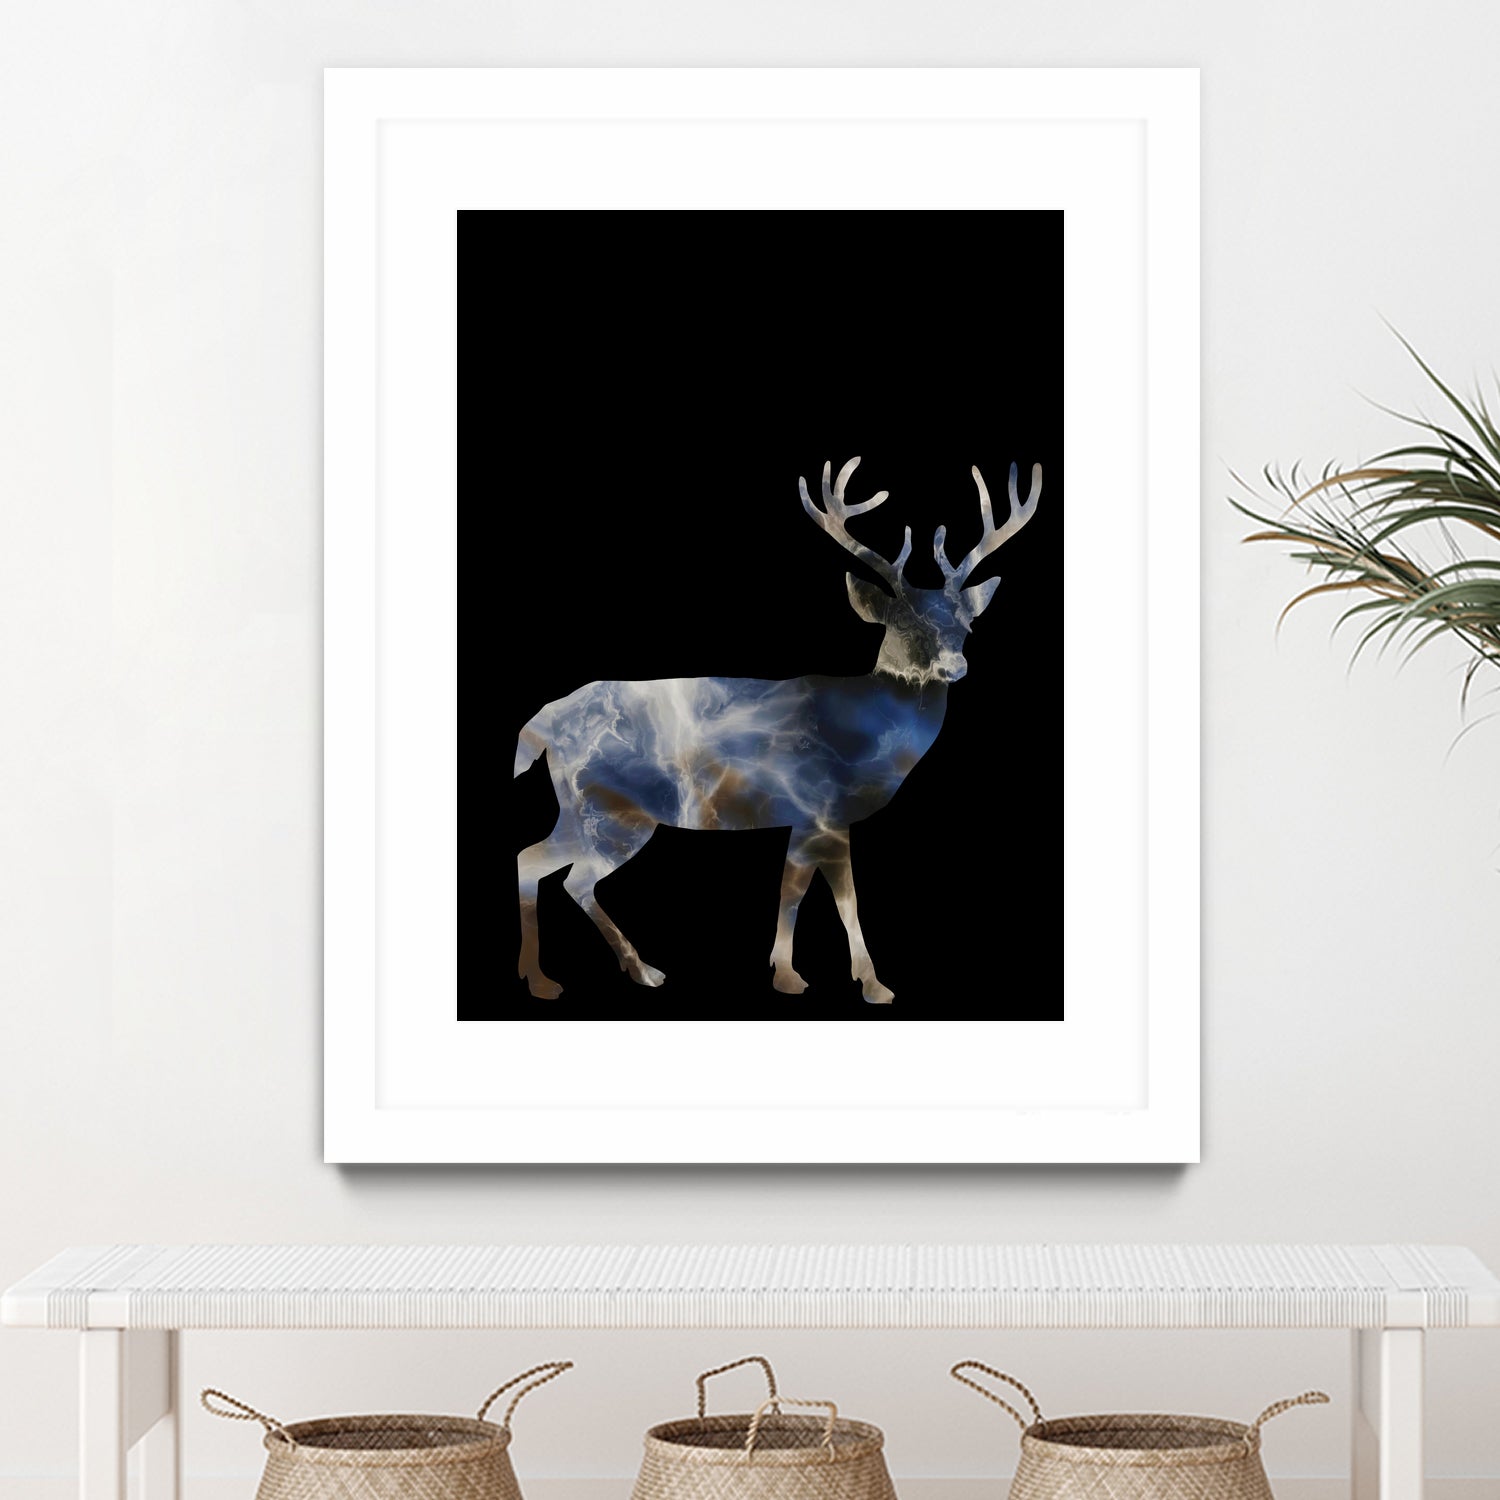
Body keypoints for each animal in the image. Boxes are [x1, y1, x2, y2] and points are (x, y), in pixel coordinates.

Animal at [513, 455, 1041, 1004]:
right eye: (903, 623)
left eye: (967, 627)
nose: (955, 666)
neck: (865, 733)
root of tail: (544, 723)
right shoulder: (822, 809)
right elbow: (830, 897)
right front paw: (857, 982)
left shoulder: (808, 818)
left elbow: (796, 890)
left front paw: (794, 972)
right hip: (612, 810)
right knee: (566, 875)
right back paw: (601, 974)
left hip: (583, 809)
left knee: (536, 860)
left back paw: (581, 973)